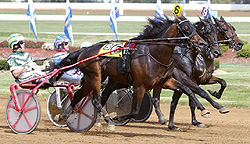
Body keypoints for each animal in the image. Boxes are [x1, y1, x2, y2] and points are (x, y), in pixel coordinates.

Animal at [53, 14, 210, 128]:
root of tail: (84, 50)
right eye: (186, 28)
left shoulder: (165, 80)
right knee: (96, 100)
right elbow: (135, 111)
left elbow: (187, 89)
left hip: (90, 79)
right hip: (95, 76)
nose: (202, 43)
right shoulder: (139, 86)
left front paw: (204, 109)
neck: (153, 54)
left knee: (79, 95)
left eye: (195, 27)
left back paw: (64, 115)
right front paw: (118, 117)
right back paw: (108, 121)